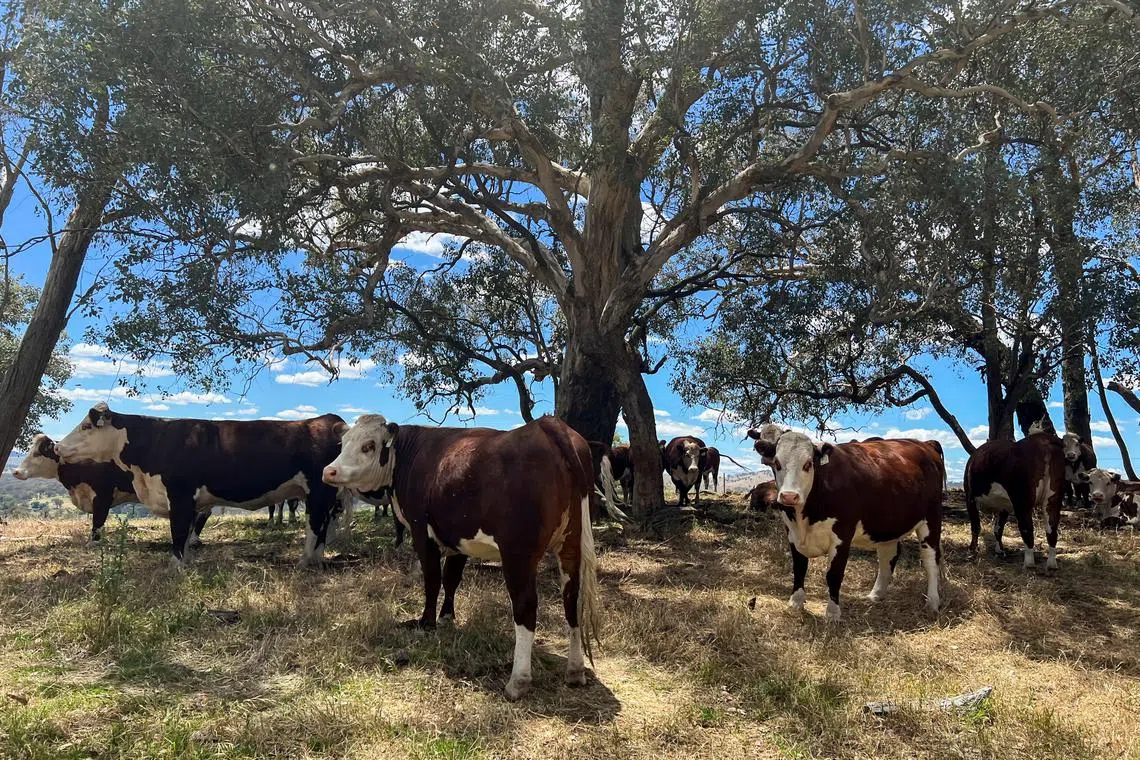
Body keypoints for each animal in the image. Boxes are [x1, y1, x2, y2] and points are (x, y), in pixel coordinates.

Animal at [55, 404, 353, 568]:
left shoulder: (180, 495)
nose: (58, 447)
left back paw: (305, 561)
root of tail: (330, 421)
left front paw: (174, 568)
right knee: (324, 526)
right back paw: (316, 559)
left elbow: (177, 534)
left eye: (86, 426)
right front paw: (185, 562)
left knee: (315, 526)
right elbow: (186, 534)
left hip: (318, 491)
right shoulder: (189, 501)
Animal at [321, 414, 602, 701]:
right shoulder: (458, 539)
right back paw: (575, 670)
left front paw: (426, 623)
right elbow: (451, 579)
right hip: (571, 545)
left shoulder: (422, 532)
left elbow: (432, 581)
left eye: (368, 445)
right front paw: (446, 618)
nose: (329, 471)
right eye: (343, 442)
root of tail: (549, 424)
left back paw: (518, 681)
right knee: (572, 599)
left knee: (526, 605)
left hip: (518, 553)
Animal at [747, 425, 945, 622]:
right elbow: (799, 568)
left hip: (932, 518)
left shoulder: (842, 535)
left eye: (808, 464)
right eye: (777, 463)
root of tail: (925, 444)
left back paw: (932, 603)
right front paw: (795, 603)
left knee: (931, 559)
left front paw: (833, 613)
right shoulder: (792, 532)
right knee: (888, 555)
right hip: (887, 523)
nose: (789, 496)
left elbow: (834, 574)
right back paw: (875, 595)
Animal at [964, 431, 1066, 570]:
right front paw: (1000, 550)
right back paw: (1051, 564)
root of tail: (1043, 439)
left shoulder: (970, 498)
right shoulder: (1004, 506)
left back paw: (1029, 564)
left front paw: (972, 550)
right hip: (1053, 500)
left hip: (1022, 502)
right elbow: (998, 528)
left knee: (1027, 529)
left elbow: (976, 526)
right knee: (1052, 531)